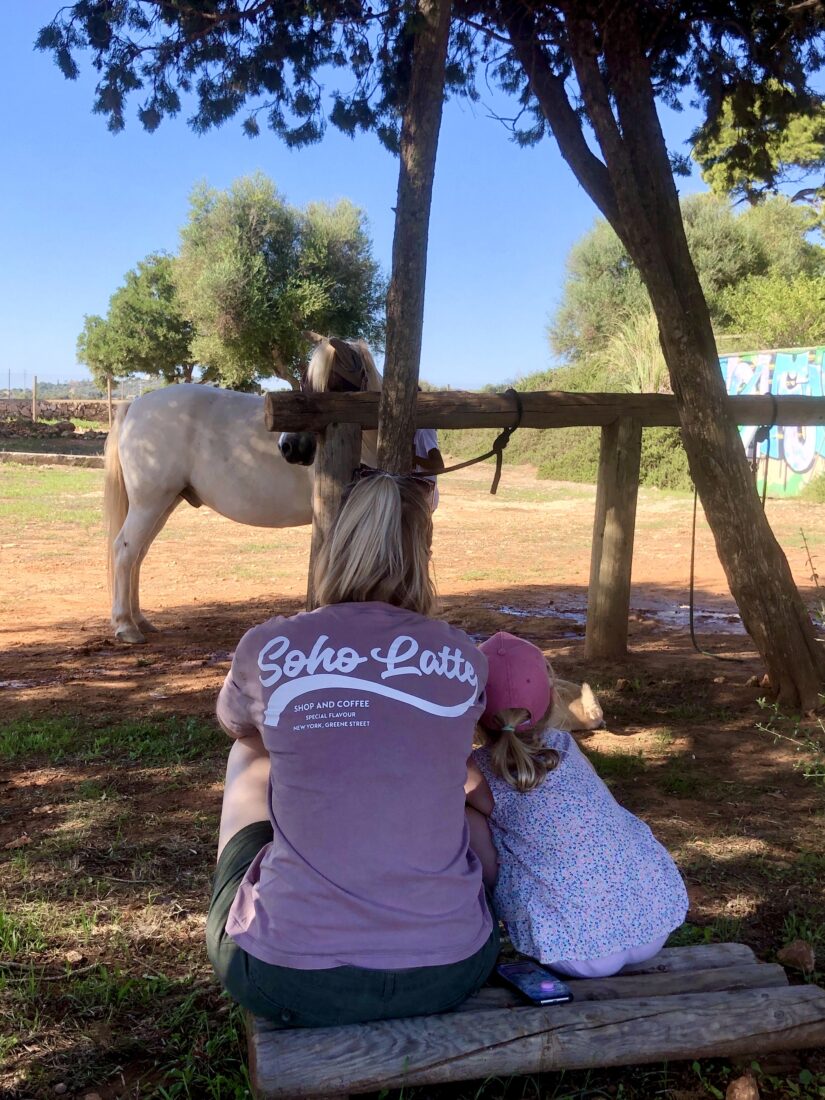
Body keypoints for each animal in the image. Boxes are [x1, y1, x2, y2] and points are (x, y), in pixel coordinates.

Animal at [103, 338, 385, 642]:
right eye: (306, 383)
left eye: (331, 384)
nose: (289, 446)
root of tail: (135, 406)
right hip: (149, 504)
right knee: (125, 551)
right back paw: (126, 626)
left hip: (162, 505)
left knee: (138, 555)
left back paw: (140, 620)